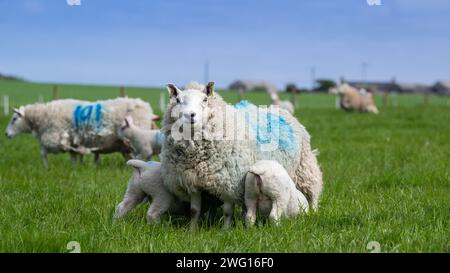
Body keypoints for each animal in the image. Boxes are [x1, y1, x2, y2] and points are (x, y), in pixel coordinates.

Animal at [3, 96, 156, 167]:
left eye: (14, 119)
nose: (6, 134)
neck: (41, 118)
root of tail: (145, 107)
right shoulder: (72, 140)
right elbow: (73, 156)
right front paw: (76, 167)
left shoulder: (55, 138)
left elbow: (43, 153)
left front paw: (46, 168)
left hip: (136, 140)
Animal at [160, 80, 322, 227]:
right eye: (178, 100)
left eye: (205, 99)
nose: (190, 115)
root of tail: (280, 109)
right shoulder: (193, 181)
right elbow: (194, 211)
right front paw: (192, 231)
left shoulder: (228, 182)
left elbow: (227, 211)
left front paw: (225, 230)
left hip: (304, 166)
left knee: (312, 192)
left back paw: (313, 214)